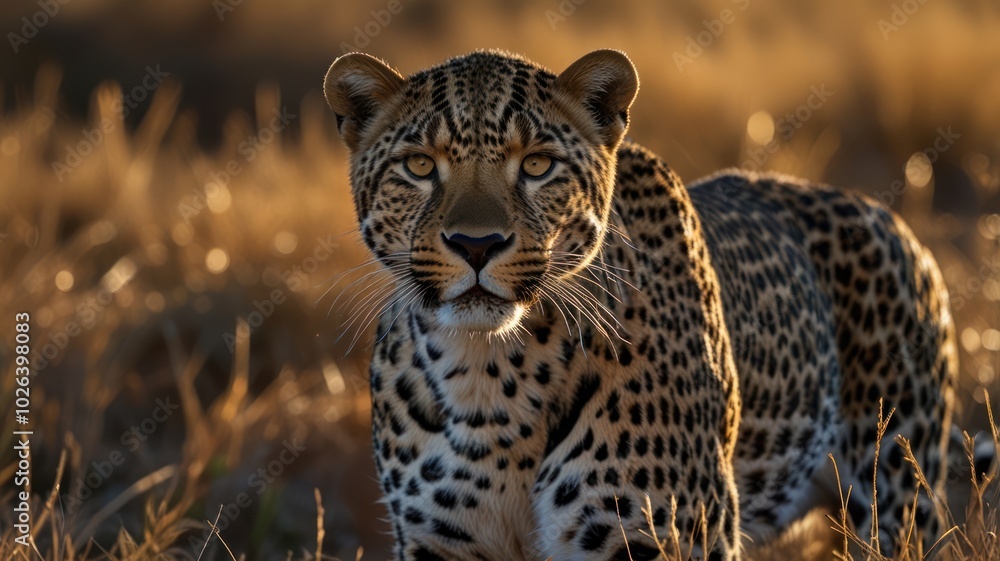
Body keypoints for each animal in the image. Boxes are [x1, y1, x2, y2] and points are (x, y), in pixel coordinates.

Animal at [322, 48, 957, 560]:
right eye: (419, 165)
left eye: (537, 164)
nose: (476, 245)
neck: (490, 374)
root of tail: (893, 220)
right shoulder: (441, 541)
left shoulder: (666, 534)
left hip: (897, 491)